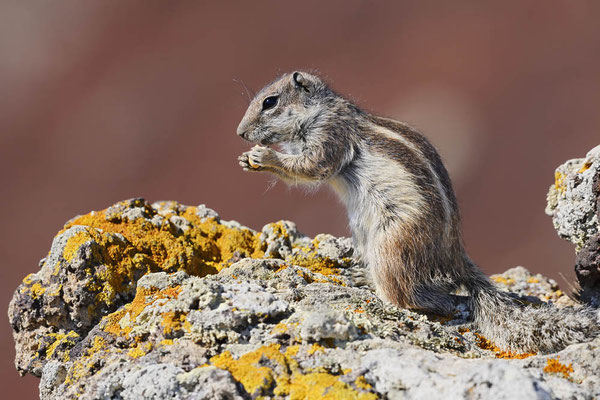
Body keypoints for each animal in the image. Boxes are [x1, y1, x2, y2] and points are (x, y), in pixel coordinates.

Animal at [237, 72, 596, 354]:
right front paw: (247, 159)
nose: (240, 133)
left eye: (269, 102)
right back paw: (361, 276)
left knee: (424, 295)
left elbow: (312, 167)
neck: (320, 110)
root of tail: (454, 255)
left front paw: (264, 157)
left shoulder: (329, 136)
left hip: (392, 243)